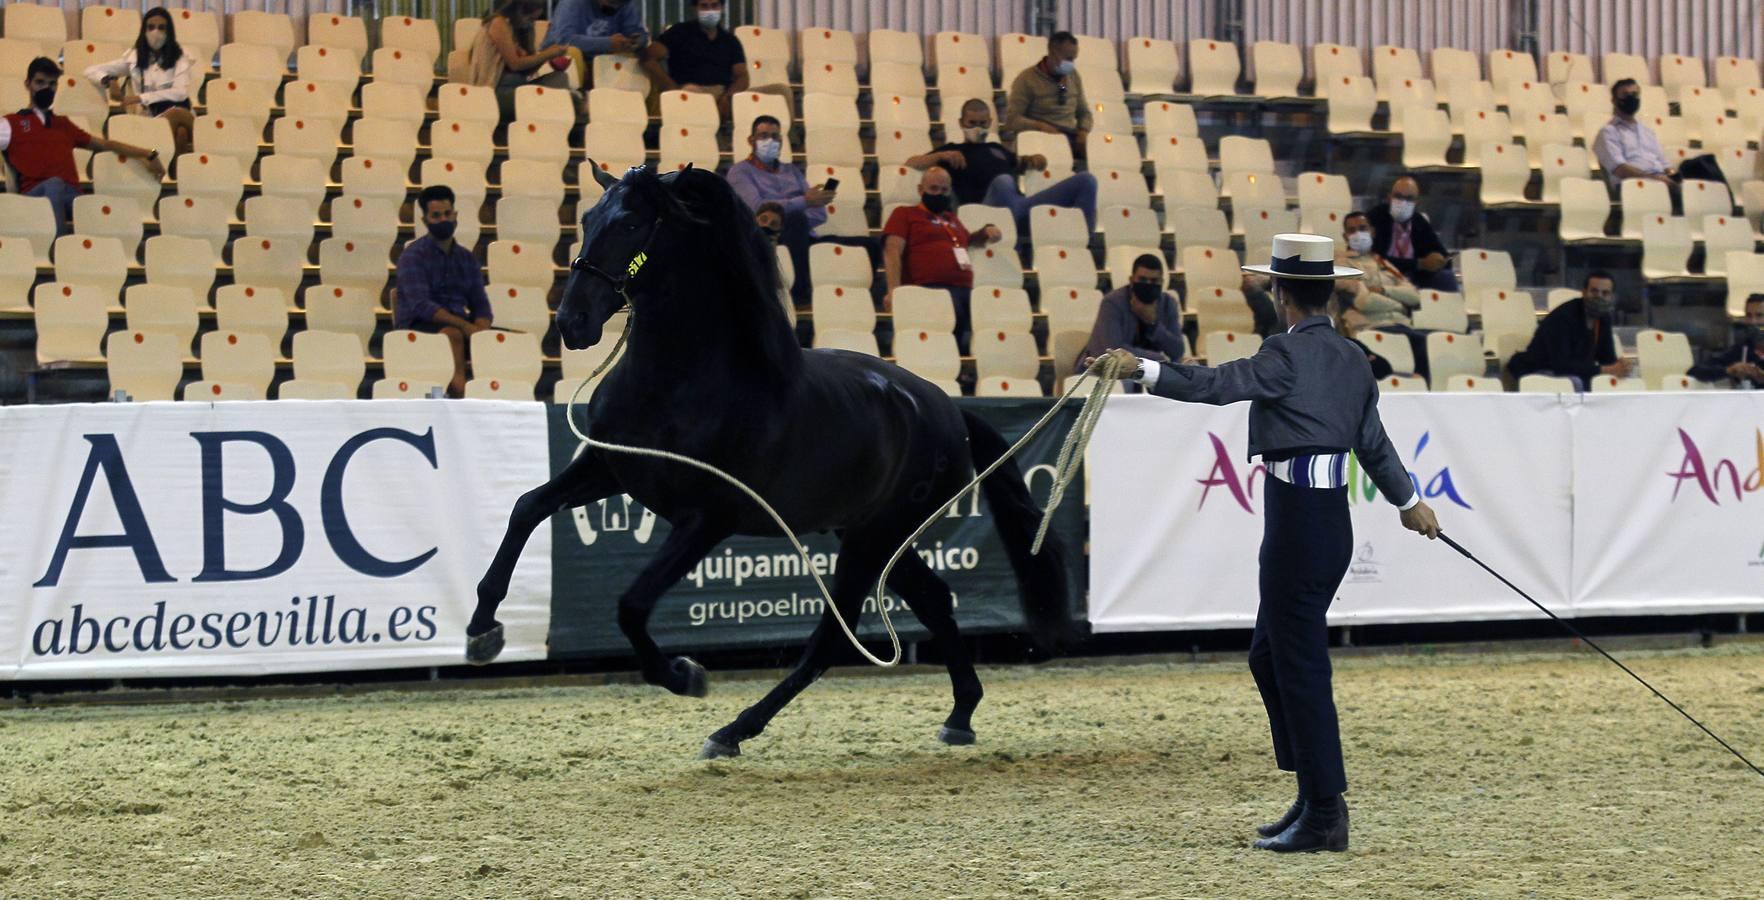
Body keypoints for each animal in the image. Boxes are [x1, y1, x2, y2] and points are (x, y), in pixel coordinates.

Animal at [465, 165, 1058, 755]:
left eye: (632, 222)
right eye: (587, 218)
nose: (573, 321)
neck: (679, 383)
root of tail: (948, 409)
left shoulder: (706, 520)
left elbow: (631, 605)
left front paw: (685, 675)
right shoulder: (610, 470)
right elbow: (526, 507)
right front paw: (482, 632)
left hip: (876, 538)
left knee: (832, 639)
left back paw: (733, 730)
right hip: (869, 533)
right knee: (934, 600)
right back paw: (961, 714)